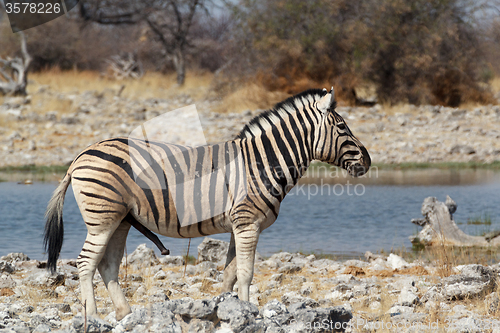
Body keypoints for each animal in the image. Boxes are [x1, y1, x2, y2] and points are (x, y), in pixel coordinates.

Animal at [45, 87, 370, 320]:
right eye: (342, 127)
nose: (367, 161)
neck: (261, 163)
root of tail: (80, 156)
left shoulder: (238, 226)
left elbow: (229, 274)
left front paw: (229, 309)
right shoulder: (248, 223)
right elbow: (246, 273)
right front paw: (250, 312)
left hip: (120, 219)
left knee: (107, 265)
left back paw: (124, 314)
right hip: (102, 218)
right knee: (86, 262)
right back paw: (93, 316)